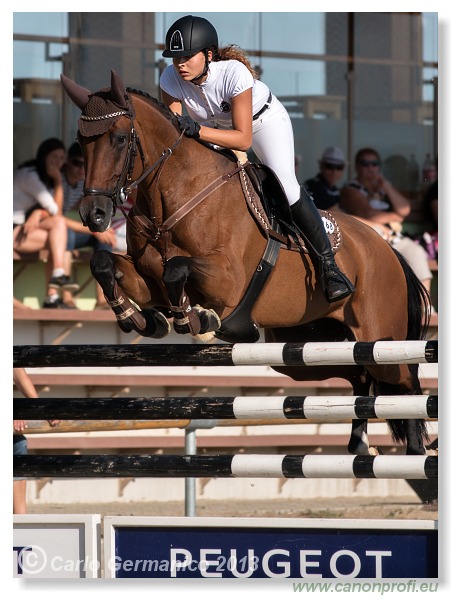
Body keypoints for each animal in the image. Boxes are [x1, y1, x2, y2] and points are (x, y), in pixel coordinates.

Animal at [60, 70, 430, 454]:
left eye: (119, 138)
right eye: (80, 142)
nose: (94, 215)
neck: (173, 197)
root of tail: (387, 248)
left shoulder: (227, 282)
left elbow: (177, 269)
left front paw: (197, 319)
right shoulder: (149, 280)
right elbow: (105, 264)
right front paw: (141, 319)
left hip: (380, 338)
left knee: (403, 383)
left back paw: (415, 451)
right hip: (307, 347)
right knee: (359, 373)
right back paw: (360, 446)